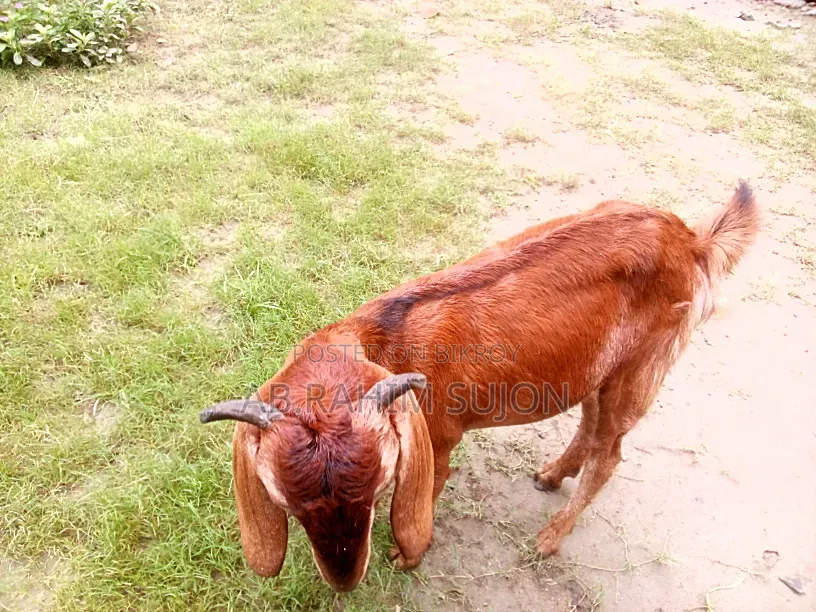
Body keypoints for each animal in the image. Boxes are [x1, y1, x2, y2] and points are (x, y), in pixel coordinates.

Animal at [200, 181, 759, 592]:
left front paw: (406, 556)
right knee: (591, 422)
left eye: (380, 488)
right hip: (600, 369)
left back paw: (549, 539)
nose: (344, 579)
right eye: (288, 507)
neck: (383, 340)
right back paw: (552, 474)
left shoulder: (440, 441)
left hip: (641, 367)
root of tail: (690, 240)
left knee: (611, 454)